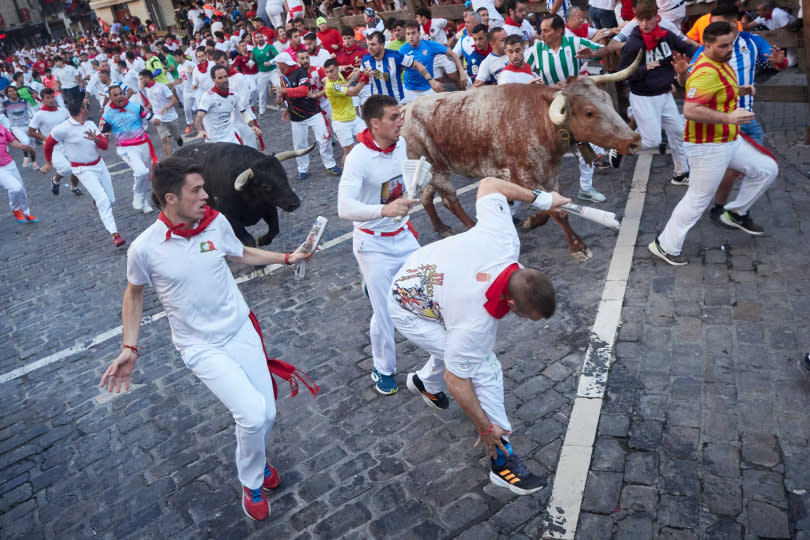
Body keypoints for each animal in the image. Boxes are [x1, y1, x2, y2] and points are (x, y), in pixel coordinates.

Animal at [400, 58, 640, 260]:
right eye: (589, 112)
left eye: (608, 100)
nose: (634, 140)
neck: (540, 120)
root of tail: (405, 109)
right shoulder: (523, 177)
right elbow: (558, 211)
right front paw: (578, 247)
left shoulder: (550, 175)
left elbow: (553, 207)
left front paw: (531, 222)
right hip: (437, 169)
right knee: (450, 201)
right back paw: (471, 229)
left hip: (432, 169)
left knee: (426, 196)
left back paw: (441, 228)